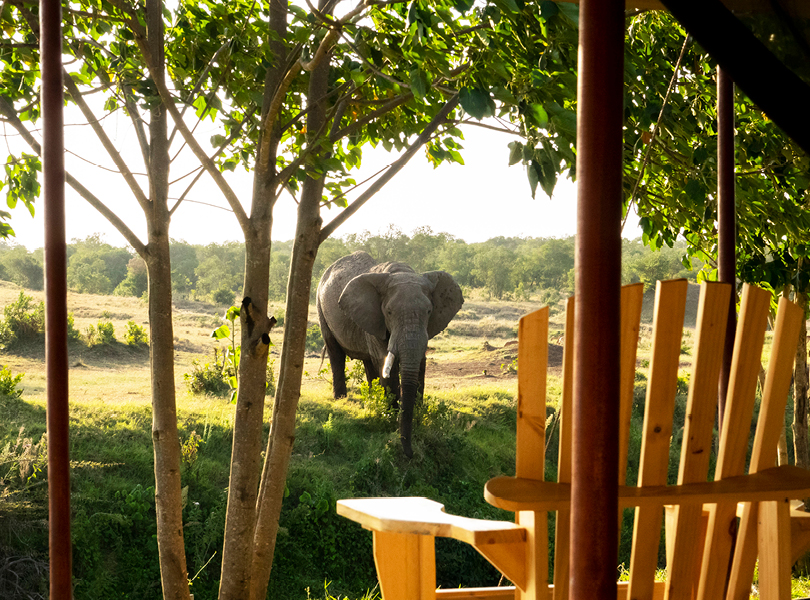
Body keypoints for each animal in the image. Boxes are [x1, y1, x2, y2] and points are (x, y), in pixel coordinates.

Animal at [316, 251, 464, 457]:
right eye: (389, 312)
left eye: (429, 311)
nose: (410, 454)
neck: (400, 271)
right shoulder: (375, 317)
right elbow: (386, 362)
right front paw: (391, 416)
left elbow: (419, 362)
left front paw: (417, 412)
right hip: (321, 308)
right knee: (336, 353)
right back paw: (341, 399)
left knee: (368, 361)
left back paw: (372, 397)